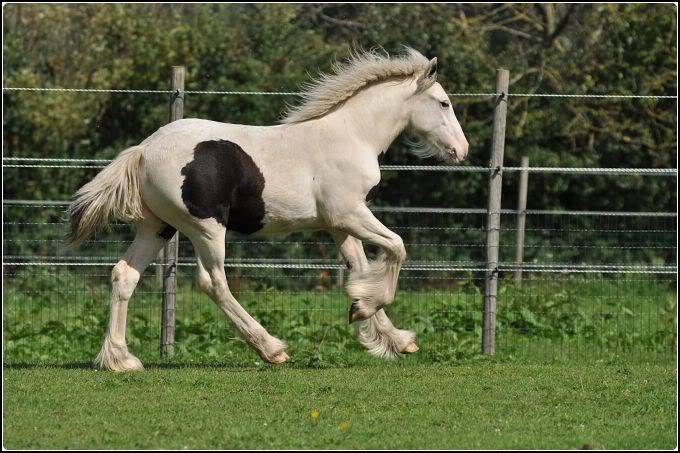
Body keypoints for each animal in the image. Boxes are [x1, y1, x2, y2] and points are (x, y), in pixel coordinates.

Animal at [71, 47, 470, 370]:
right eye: (443, 103)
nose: (461, 150)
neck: (351, 135)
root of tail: (144, 149)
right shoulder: (350, 214)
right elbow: (397, 248)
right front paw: (369, 313)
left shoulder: (339, 225)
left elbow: (359, 268)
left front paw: (388, 333)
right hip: (205, 228)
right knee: (213, 282)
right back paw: (271, 349)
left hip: (157, 227)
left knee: (124, 275)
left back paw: (120, 360)